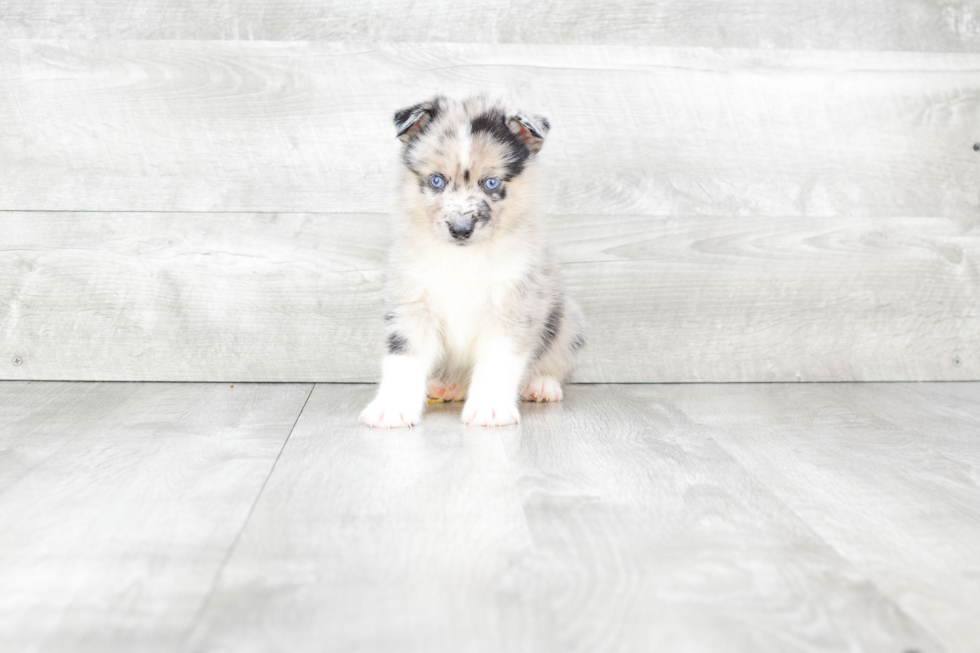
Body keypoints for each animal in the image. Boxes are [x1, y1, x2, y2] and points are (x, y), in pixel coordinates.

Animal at [362, 93, 584, 428]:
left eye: (490, 183)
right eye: (437, 181)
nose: (460, 229)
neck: (462, 259)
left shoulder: (512, 306)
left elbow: (498, 361)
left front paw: (490, 408)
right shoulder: (411, 304)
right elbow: (402, 359)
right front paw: (392, 408)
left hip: (567, 318)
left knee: (556, 359)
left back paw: (541, 384)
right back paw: (448, 385)